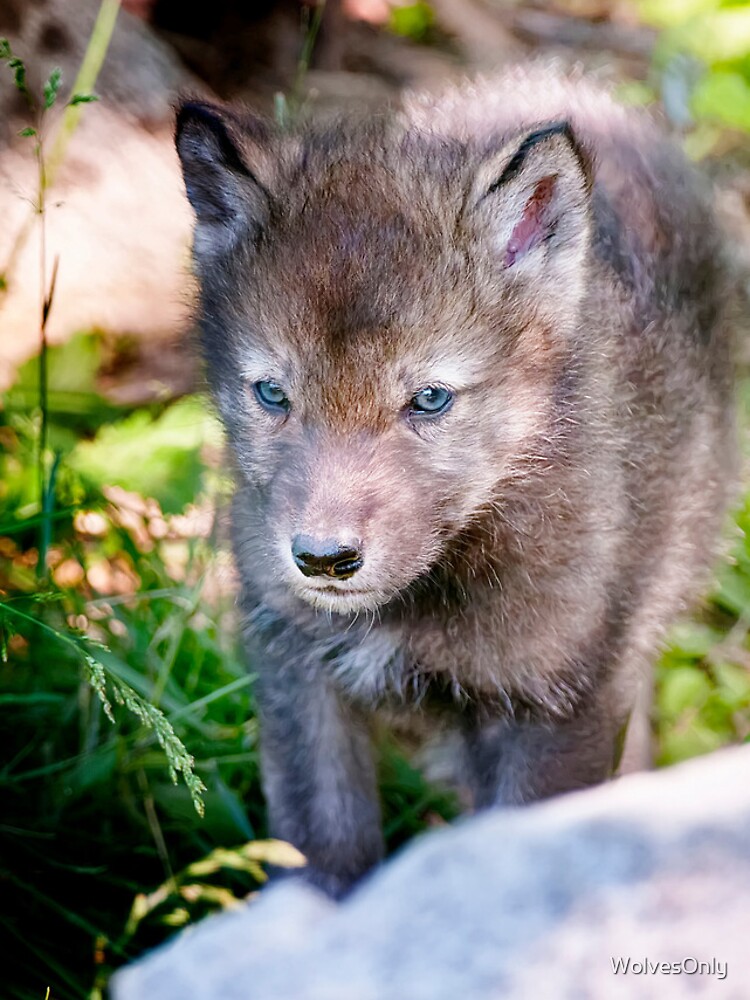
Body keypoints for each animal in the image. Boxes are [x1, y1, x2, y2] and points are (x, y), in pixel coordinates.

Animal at [175, 66, 736, 897]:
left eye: (431, 399)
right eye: (272, 393)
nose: (324, 560)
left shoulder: (558, 702)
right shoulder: (296, 672)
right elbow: (322, 855)